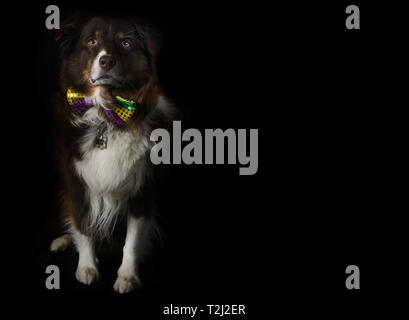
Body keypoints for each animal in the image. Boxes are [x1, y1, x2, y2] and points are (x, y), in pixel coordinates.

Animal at [49, 14, 172, 292]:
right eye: (91, 41)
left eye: (126, 43)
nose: (106, 60)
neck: (107, 117)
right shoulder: (78, 184)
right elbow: (82, 227)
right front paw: (87, 268)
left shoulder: (142, 190)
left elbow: (132, 241)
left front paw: (127, 276)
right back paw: (62, 241)